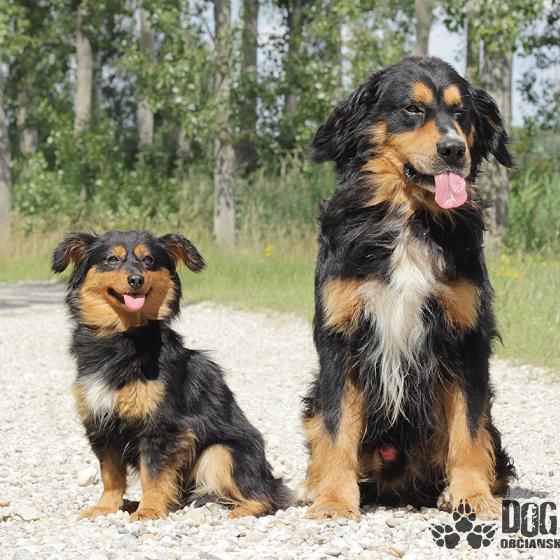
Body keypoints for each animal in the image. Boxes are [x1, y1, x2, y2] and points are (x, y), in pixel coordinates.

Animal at [52, 230, 290, 520]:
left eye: (149, 260)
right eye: (111, 259)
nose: (136, 280)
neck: (123, 338)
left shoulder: (163, 426)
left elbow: (153, 474)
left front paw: (149, 510)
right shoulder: (100, 424)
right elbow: (111, 475)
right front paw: (106, 507)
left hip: (220, 453)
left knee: (265, 496)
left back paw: (241, 511)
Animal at [302, 56, 516, 521]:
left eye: (462, 113)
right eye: (412, 109)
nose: (454, 149)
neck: (411, 216)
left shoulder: (466, 337)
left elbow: (469, 428)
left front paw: (472, 495)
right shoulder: (341, 335)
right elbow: (337, 426)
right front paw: (334, 499)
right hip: (312, 396)